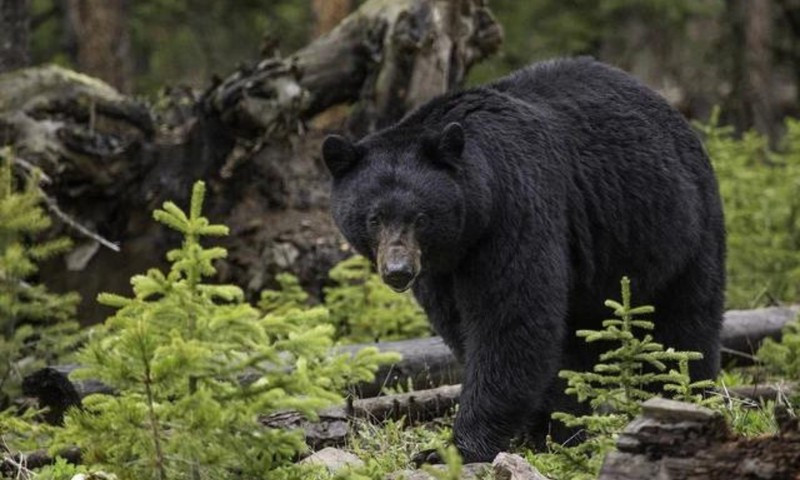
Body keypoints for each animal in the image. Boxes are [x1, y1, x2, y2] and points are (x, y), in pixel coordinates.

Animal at [318, 58, 724, 464]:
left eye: (420, 217)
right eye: (374, 217)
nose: (398, 271)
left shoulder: (515, 211)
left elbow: (510, 319)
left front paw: (455, 448)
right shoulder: (442, 267)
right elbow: (462, 324)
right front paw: (541, 427)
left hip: (679, 228)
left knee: (685, 325)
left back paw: (684, 397)